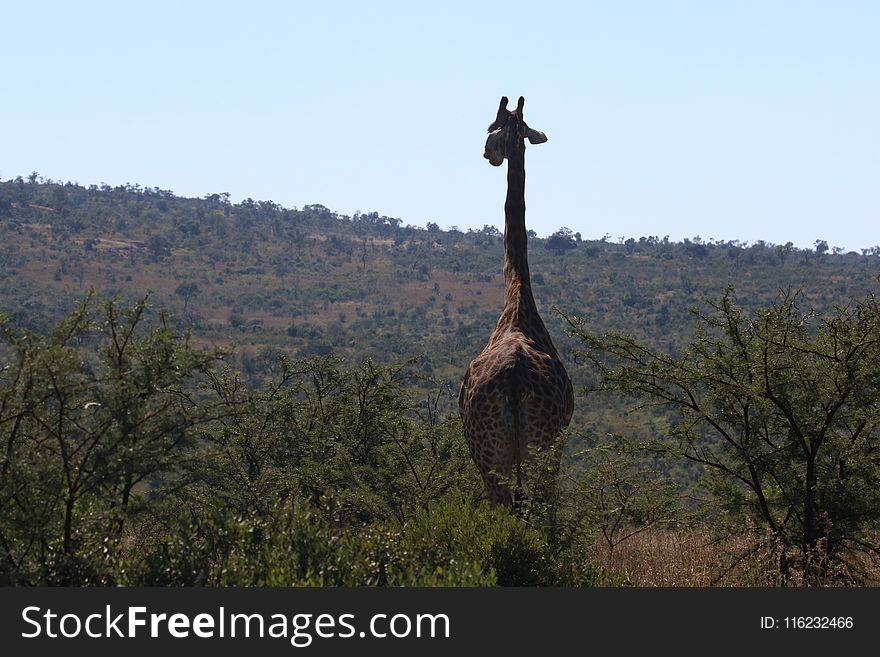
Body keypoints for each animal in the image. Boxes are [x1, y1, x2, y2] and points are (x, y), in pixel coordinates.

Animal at [458, 96, 576, 508]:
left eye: (491, 128)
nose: (487, 154)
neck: (518, 297)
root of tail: (513, 377)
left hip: (496, 456)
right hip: (535, 451)